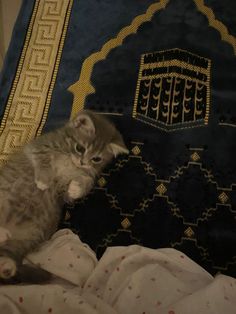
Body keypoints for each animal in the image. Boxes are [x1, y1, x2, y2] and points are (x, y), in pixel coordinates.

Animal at [0, 110, 128, 282]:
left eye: (96, 158)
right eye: (80, 148)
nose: (83, 162)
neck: (70, 160)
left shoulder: (67, 191)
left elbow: (86, 181)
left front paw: (76, 188)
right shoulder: (39, 146)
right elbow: (42, 157)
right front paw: (43, 180)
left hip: (28, 237)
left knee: (6, 252)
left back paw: (7, 265)